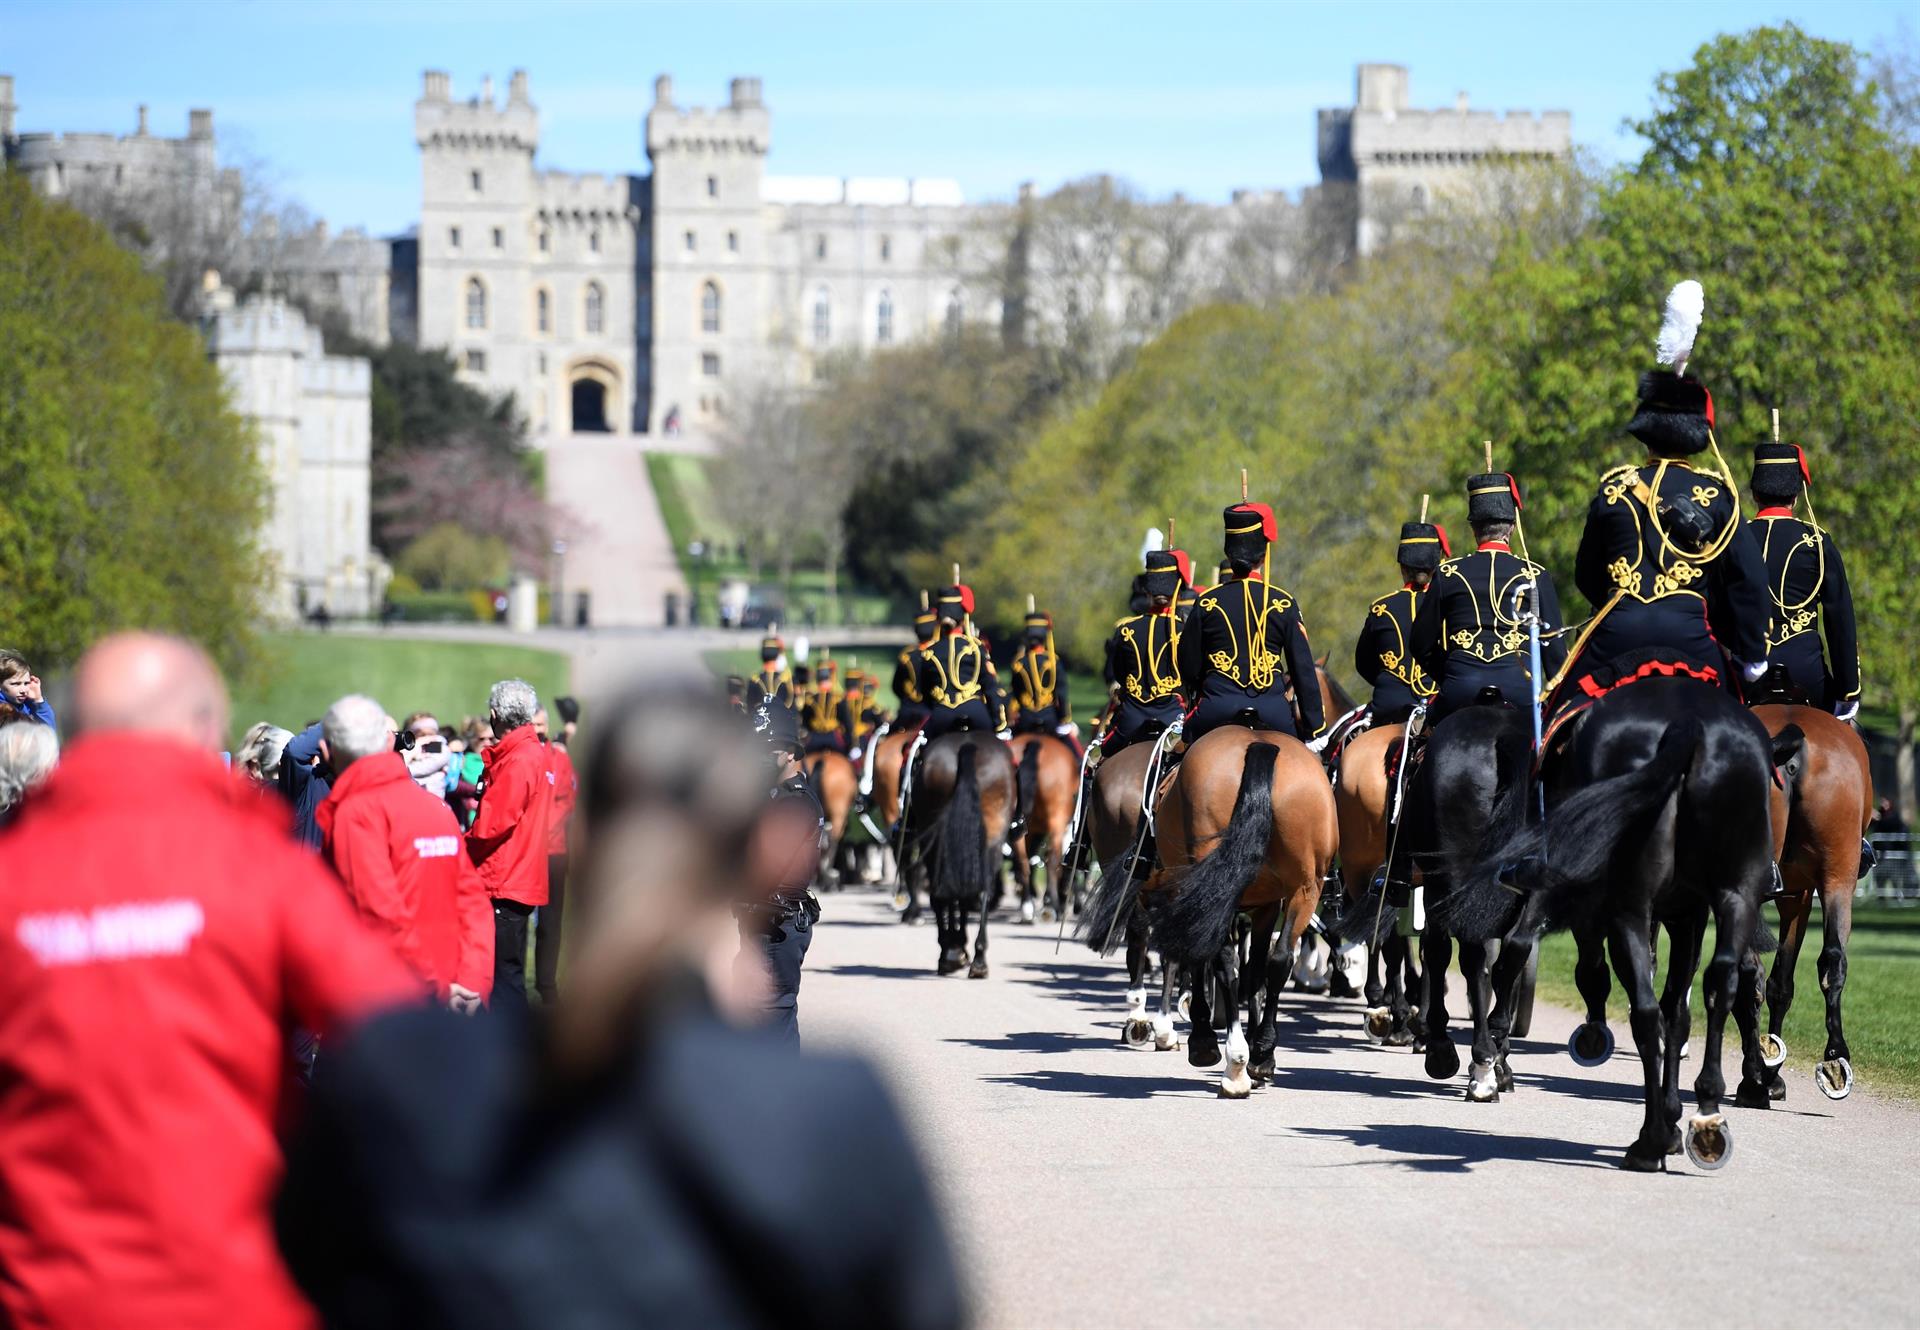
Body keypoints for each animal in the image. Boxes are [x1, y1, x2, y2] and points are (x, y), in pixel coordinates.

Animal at [1006, 733, 1082, 917]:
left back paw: (1027, 907)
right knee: (1051, 859)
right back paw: (1051, 906)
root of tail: (1035, 742)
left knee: (1023, 861)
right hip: (1057, 820)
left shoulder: (1031, 831)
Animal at [1136, 725, 1336, 1090]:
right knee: (1278, 961)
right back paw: (1260, 1055)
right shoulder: (1267, 905)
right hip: (1305, 889)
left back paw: (1235, 1058)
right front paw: (1259, 1050)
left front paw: (1203, 1039)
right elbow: (1256, 969)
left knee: (1224, 960)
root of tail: (1259, 744)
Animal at [1443, 679, 1774, 1166]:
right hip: (1731, 895)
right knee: (1717, 987)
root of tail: (1688, 721)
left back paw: (1651, 1137)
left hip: (1628, 906)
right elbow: (1677, 1008)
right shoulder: (1688, 913)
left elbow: (1542, 961)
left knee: (1641, 1007)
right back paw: (1707, 1114)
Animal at [1751, 706, 1866, 1097]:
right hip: (1838, 878)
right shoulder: (1800, 896)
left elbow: (1779, 984)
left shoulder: (1793, 897)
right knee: (1832, 959)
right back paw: (1833, 1058)